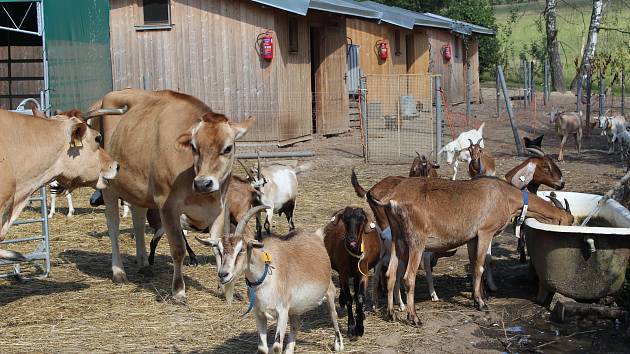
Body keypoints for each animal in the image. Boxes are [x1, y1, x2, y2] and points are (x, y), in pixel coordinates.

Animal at [89, 88, 256, 302]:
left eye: (227, 148)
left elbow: (217, 245)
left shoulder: (219, 207)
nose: (203, 183)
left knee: (138, 219)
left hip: (137, 189)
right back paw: (118, 272)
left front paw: (224, 286)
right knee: (113, 227)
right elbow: (178, 248)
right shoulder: (166, 205)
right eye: (194, 147)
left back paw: (144, 263)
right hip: (109, 185)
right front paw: (178, 291)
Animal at [199, 205, 344, 354]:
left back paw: (338, 344)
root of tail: (317, 236)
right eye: (219, 250)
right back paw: (289, 349)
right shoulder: (259, 313)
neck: (266, 278)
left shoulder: (282, 311)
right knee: (296, 324)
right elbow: (262, 347)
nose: (223, 274)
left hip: (329, 290)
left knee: (333, 314)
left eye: (242, 249)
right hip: (294, 307)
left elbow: (276, 346)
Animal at [326, 206, 380, 336]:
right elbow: (348, 299)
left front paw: (360, 327)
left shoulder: (363, 273)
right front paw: (351, 327)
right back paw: (341, 301)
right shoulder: (344, 273)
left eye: (362, 219)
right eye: (345, 219)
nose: (351, 239)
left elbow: (360, 297)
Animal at [368, 177, 576, 324]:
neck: (505, 195)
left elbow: (476, 264)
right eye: (570, 220)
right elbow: (480, 266)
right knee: (408, 277)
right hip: (416, 240)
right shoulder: (485, 232)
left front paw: (479, 297)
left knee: (390, 274)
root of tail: (391, 198)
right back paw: (414, 318)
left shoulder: (472, 238)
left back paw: (392, 314)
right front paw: (482, 304)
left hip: (397, 238)